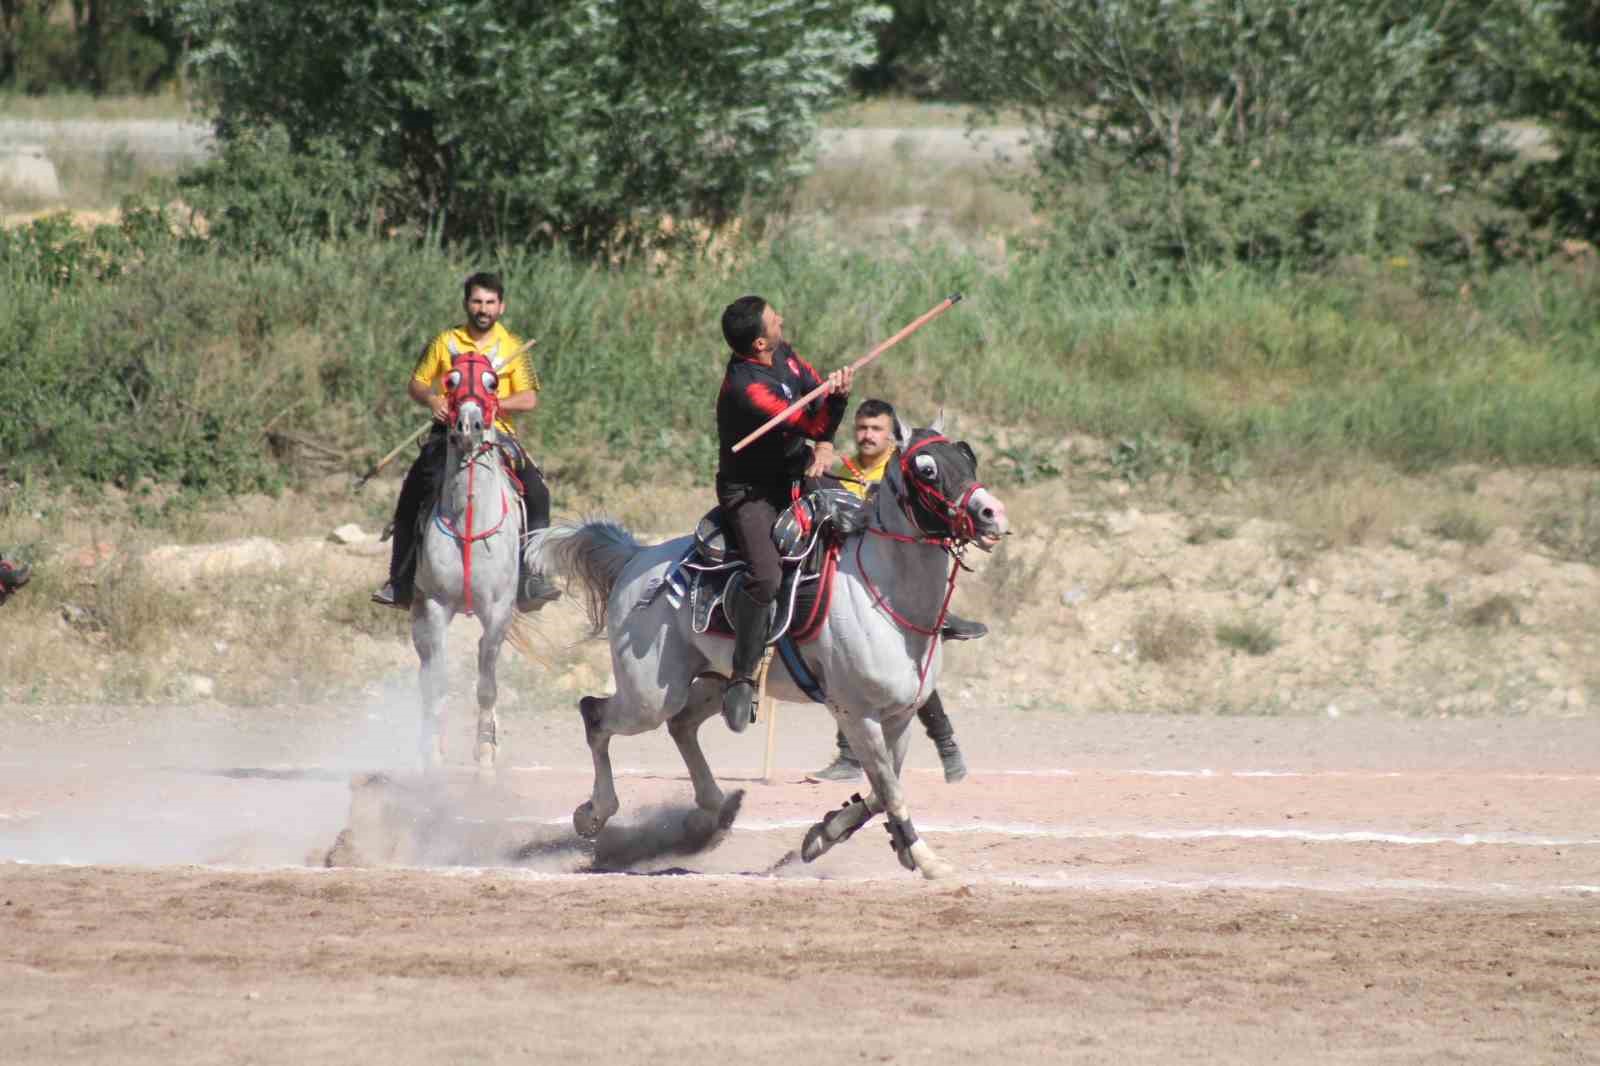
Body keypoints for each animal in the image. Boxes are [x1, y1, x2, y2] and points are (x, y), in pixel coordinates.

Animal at [409, 348, 521, 771]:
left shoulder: (500, 610)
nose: (468, 425)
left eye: (492, 382)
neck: (469, 520)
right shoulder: (436, 605)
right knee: (425, 671)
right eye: (450, 380)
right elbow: (437, 681)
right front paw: (432, 753)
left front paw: (485, 751)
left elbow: (487, 682)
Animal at [524, 419, 1004, 877]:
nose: (992, 513)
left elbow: (880, 791)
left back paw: (715, 811)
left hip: (713, 683)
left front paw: (824, 834)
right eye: (927, 469)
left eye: (967, 456)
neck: (885, 597)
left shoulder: (900, 717)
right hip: (649, 696)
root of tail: (636, 557)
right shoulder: (856, 714)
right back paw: (594, 814)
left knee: (681, 725)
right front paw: (924, 859)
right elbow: (889, 791)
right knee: (596, 715)